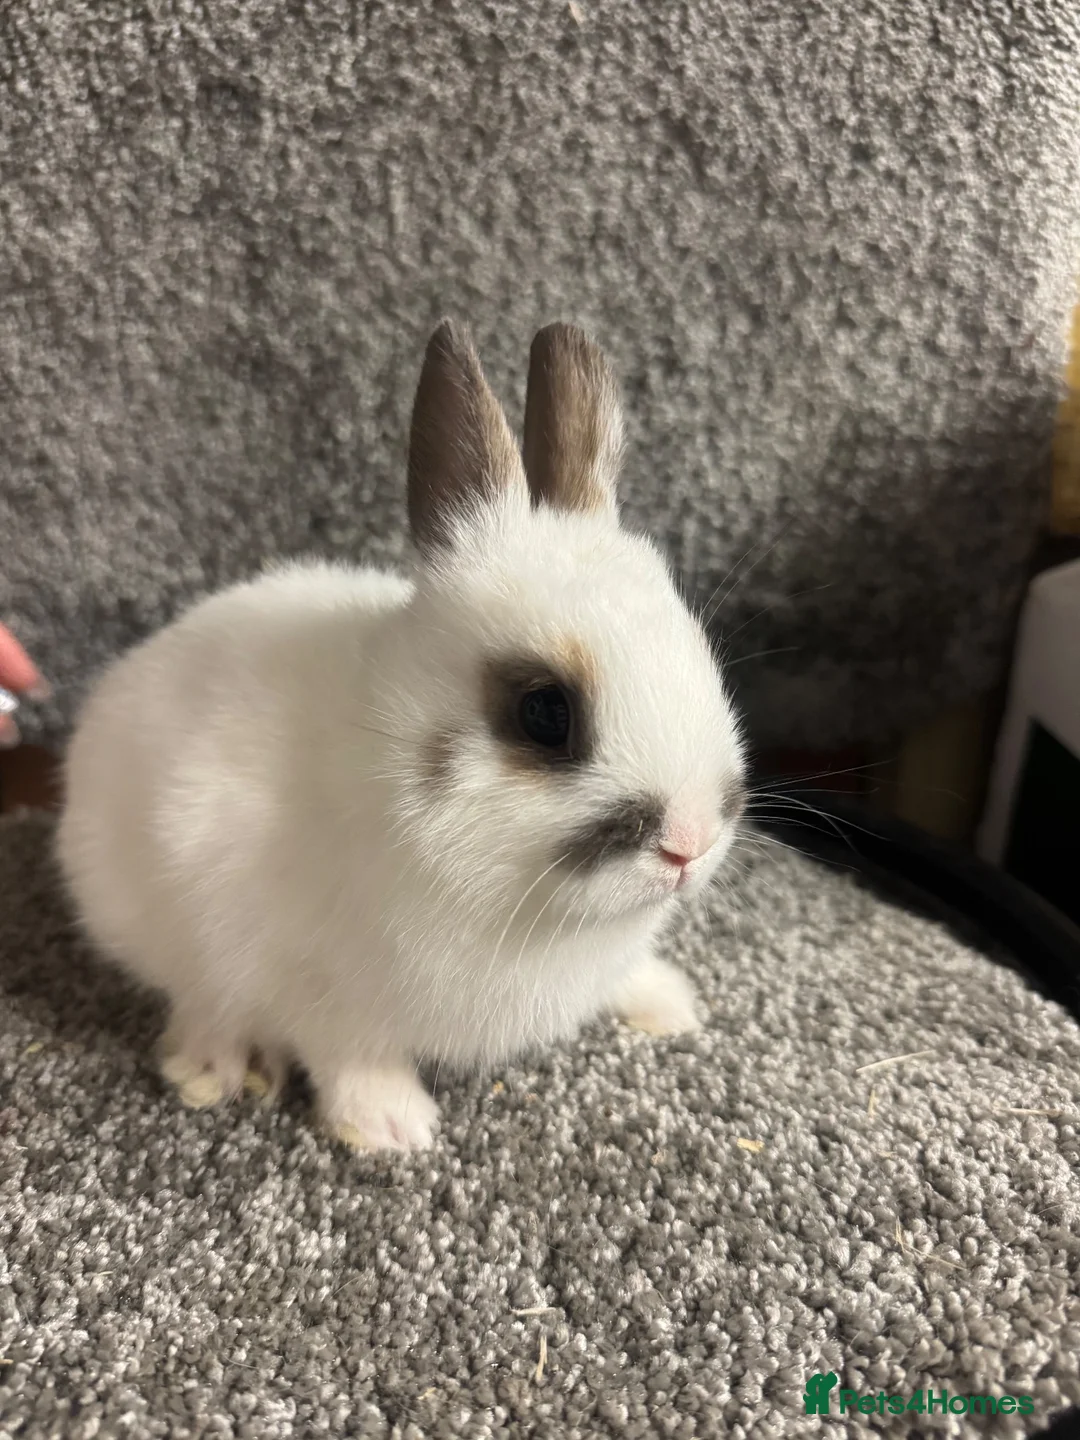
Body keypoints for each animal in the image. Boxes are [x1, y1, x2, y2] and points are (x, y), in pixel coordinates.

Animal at [57, 321, 747, 1151]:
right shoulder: (313, 980)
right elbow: (348, 1052)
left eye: (699, 652)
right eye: (545, 713)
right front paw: (394, 1127)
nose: (690, 843)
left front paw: (671, 1005)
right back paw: (214, 1070)